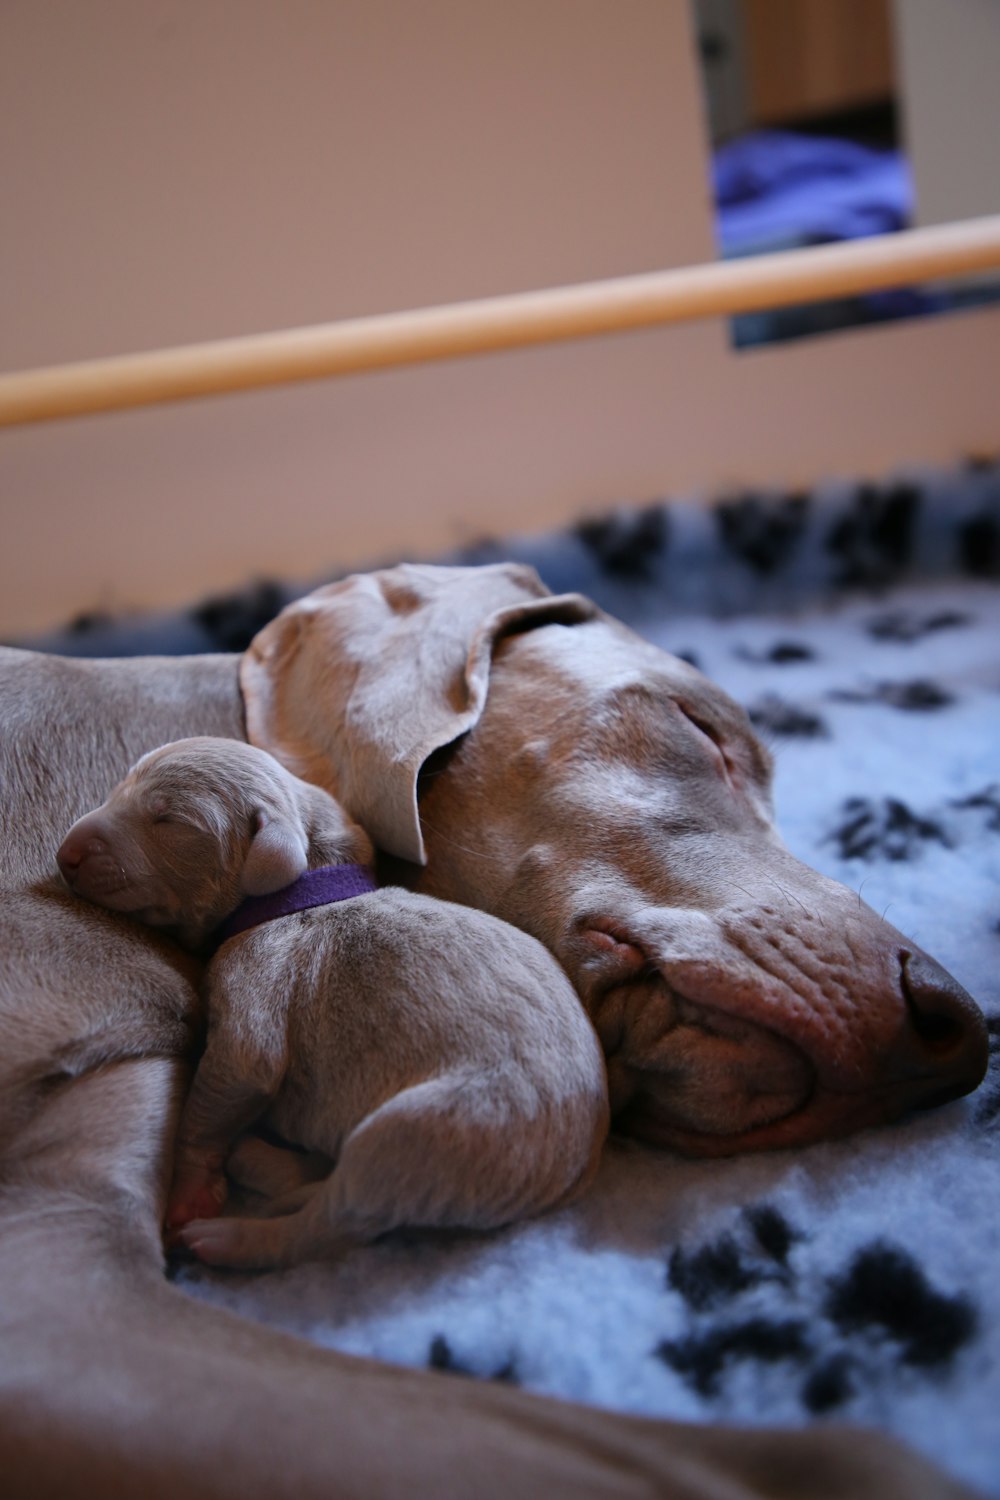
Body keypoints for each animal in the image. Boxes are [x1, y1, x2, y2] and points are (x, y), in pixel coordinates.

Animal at [56, 738, 611, 1266]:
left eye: (167, 820)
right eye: (121, 787)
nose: (66, 854)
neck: (304, 890)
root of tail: (578, 1173)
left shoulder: (259, 982)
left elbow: (224, 1084)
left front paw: (188, 1194)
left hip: (432, 1131)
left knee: (330, 1224)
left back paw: (231, 1236)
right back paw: (261, 1161)